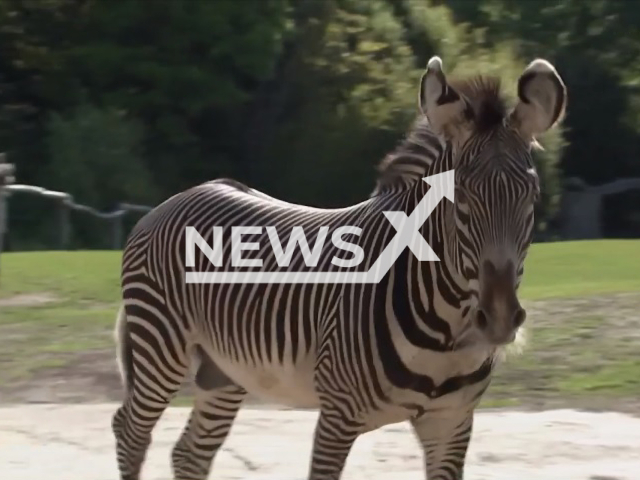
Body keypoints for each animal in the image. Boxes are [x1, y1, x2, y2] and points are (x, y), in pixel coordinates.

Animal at [112, 54, 568, 478]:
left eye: (532, 197)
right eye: (460, 201)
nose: (499, 319)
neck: (446, 334)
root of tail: (182, 195)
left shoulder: (452, 422)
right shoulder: (337, 417)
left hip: (222, 370)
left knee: (189, 454)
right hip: (161, 345)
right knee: (130, 430)